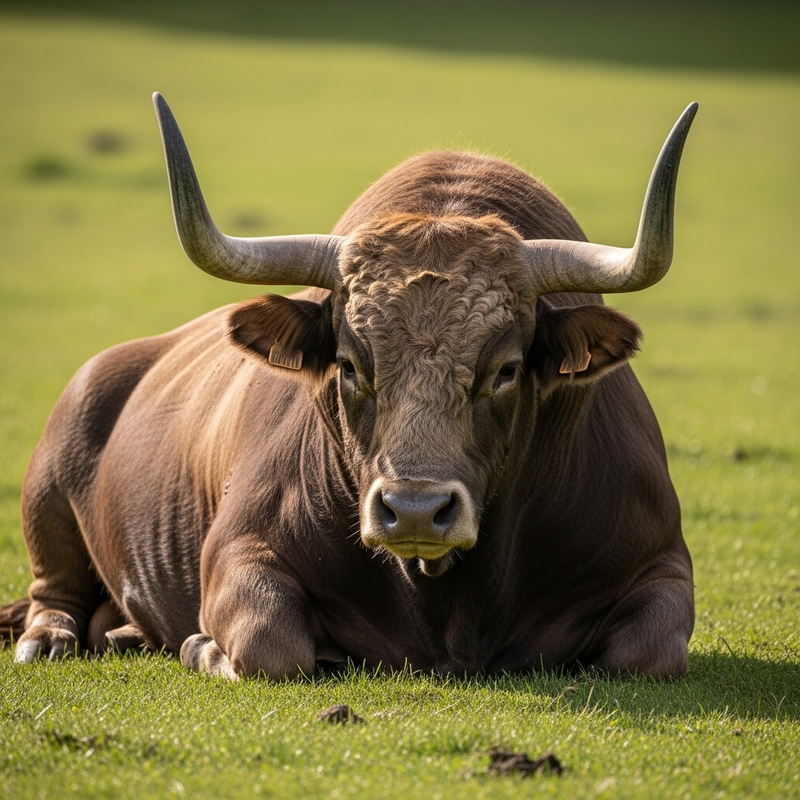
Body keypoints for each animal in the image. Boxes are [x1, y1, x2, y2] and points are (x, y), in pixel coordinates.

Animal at [0, 94, 697, 680]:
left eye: (505, 368)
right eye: (349, 364)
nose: (414, 509)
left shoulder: (665, 564)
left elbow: (648, 652)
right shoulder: (237, 553)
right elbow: (269, 644)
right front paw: (201, 645)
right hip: (47, 498)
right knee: (52, 591)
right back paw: (50, 639)